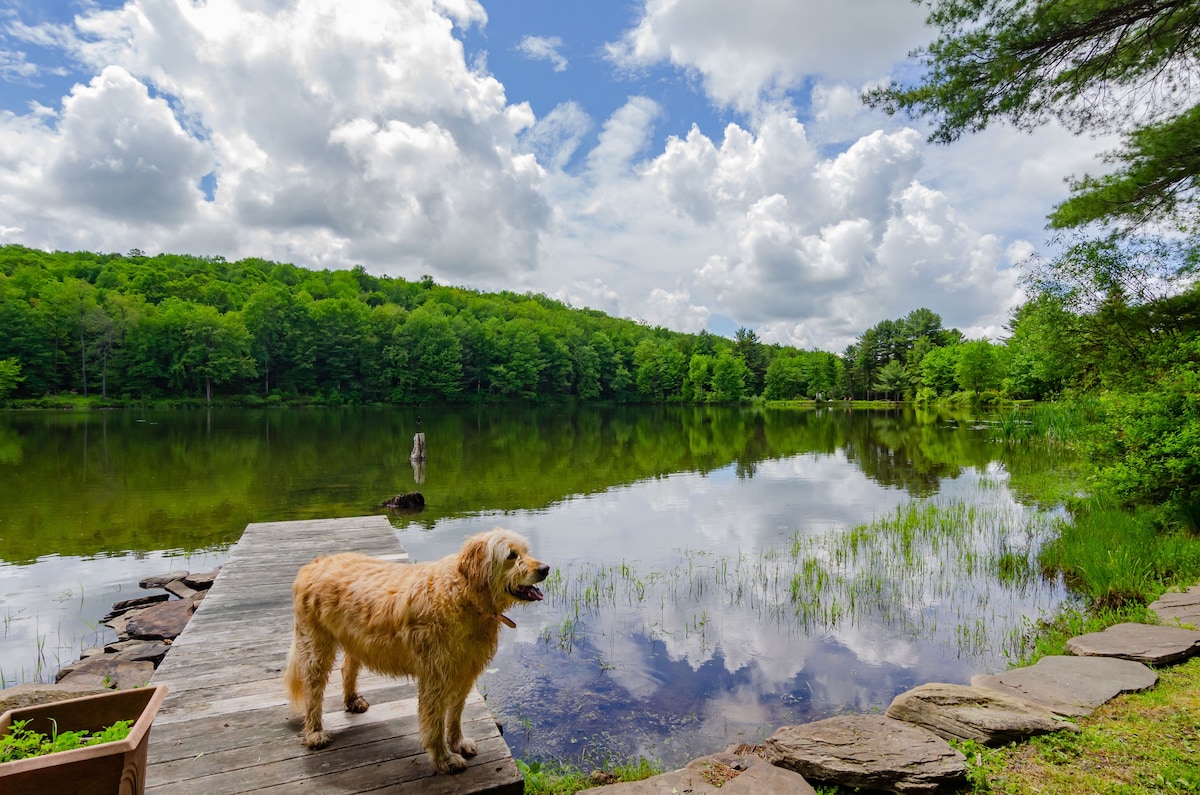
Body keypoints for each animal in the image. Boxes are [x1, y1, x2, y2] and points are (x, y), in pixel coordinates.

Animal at [285, 533, 552, 773]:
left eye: (525, 551)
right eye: (511, 555)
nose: (546, 568)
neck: (464, 595)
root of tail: (313, 564)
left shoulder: (465, 672)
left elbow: (455, 714)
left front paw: (457, 742)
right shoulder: (435, 678)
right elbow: (434, 722)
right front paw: (444, 758)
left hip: (355, 640)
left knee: (347, 667)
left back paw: (351, 700)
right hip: (316, 646)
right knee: (313, 689)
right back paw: (315, 732)